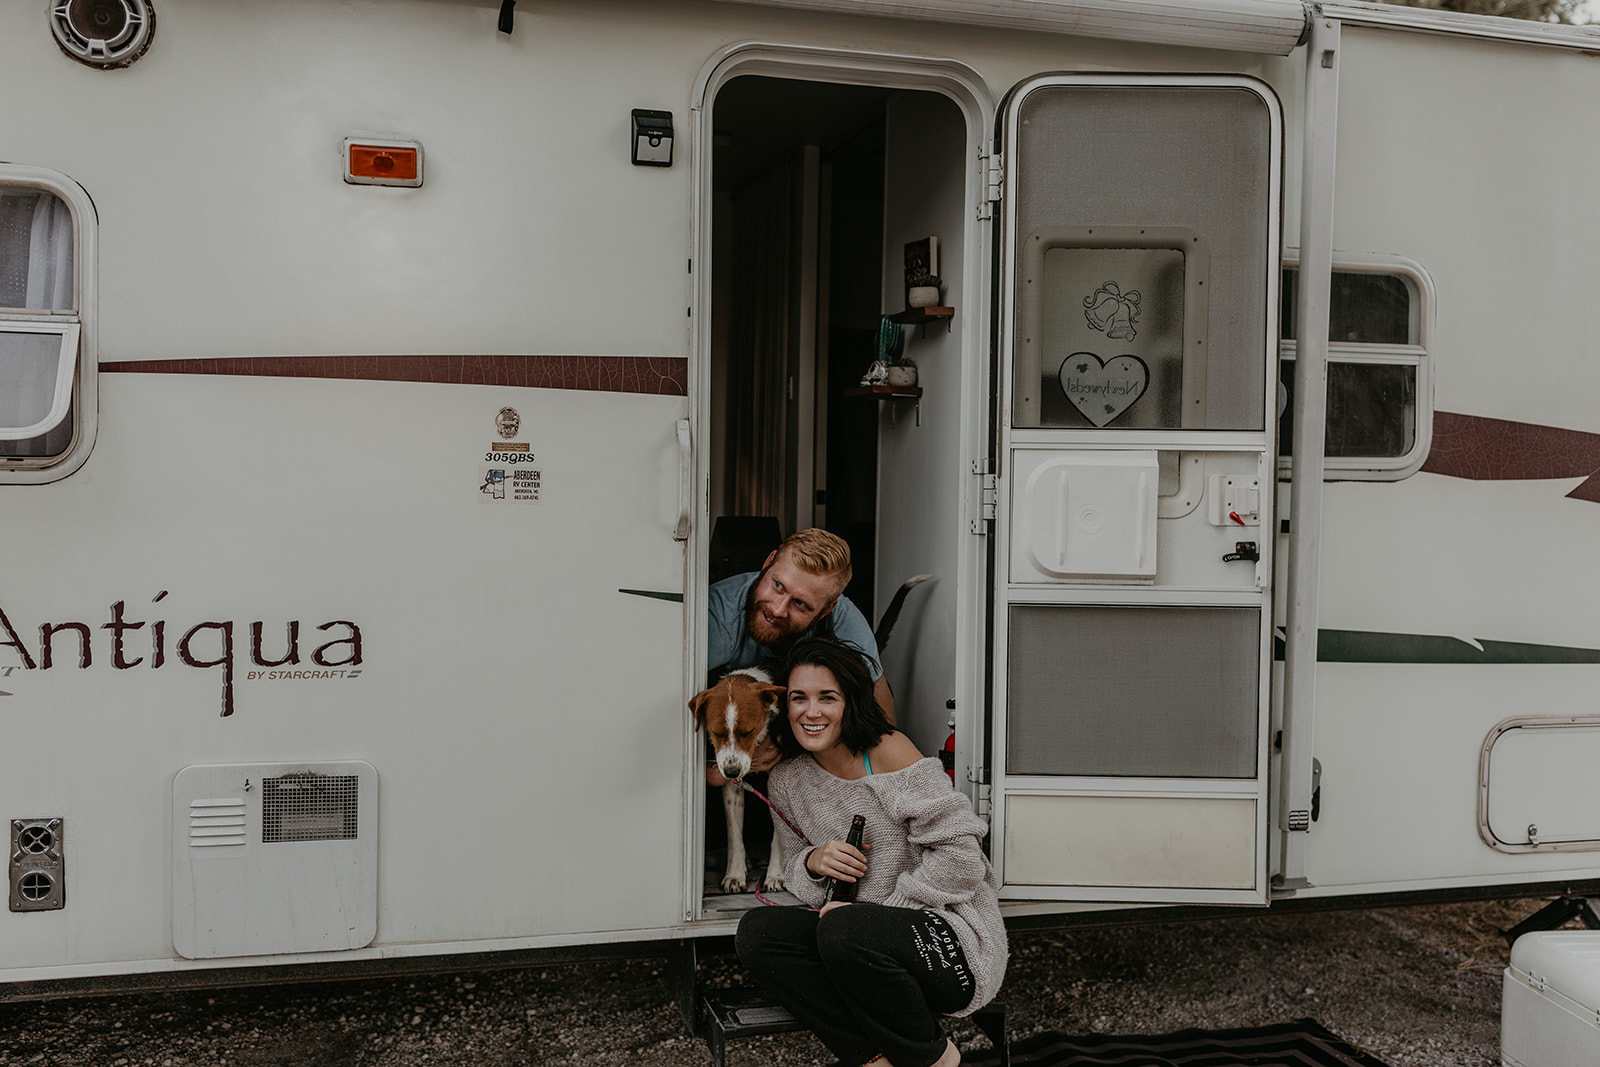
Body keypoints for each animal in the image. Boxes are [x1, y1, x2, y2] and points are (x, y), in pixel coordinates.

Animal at [688, 668, 787, 895]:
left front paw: (775, 875)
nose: (732, 772)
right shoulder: (731, 788)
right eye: (715, 732)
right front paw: (734, 875)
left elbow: (779, 835)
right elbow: (734, 835)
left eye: (748, 731)